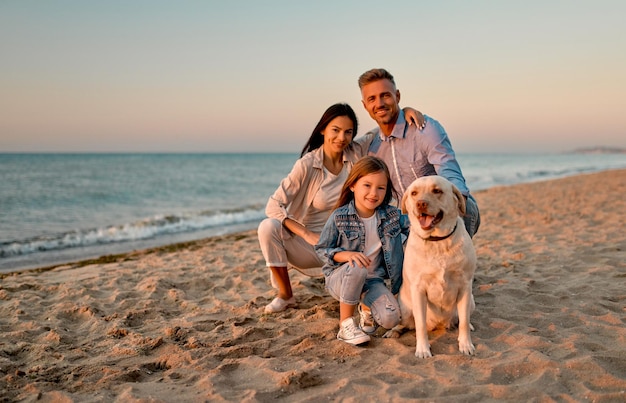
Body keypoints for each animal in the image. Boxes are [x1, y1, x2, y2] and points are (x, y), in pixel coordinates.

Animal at [382, 175, 476, 358]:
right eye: (414, 193)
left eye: (437, 190)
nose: (420, 203)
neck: (437, 241)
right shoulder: (418, 289)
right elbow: (420, 325)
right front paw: (423, 349)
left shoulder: (465, 286)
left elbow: (463, 320)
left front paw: (466, 344)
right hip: (404, 307)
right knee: (406, 323)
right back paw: (394, 331)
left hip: (471, 301)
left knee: (462, 318)